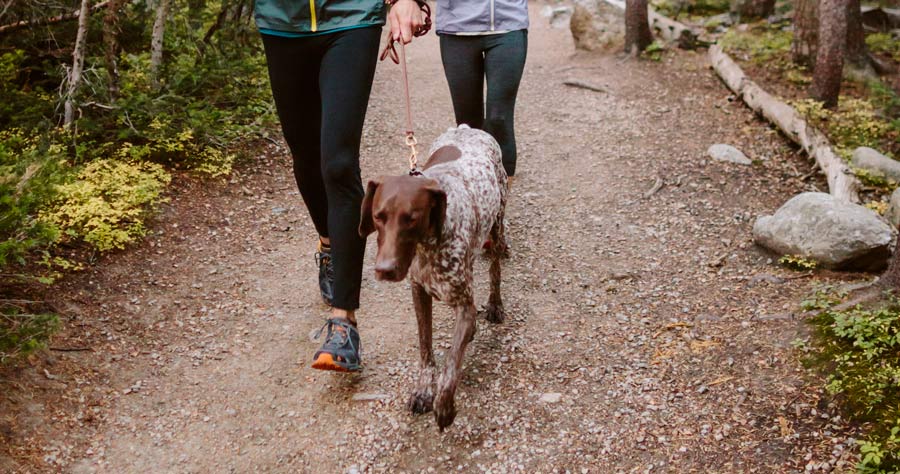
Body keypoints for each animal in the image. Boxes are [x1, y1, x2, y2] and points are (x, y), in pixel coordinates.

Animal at [360, 125, 512, 430]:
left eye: (411, 218)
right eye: (378, 216)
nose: (385, 269)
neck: (427, 246)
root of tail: (467, 128)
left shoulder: (464, 306)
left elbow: (452, 362)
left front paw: (444, 404)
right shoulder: (419, 293)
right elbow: (426, 349)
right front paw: (423, 391)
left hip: (497, 224)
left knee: (495, 270)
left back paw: (495, 305)